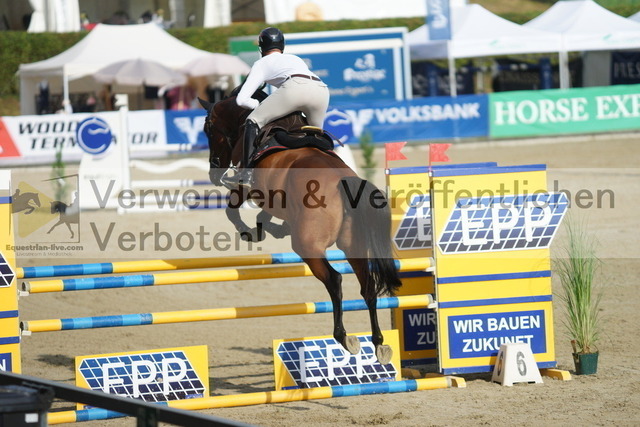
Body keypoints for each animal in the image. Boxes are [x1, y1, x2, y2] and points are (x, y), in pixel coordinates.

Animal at [200, 90, 400, 364]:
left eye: (208, 128)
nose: (213, 170)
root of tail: (344, 182)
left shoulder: (245, 188)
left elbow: (232, 211)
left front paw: (251, 233)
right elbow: (265, 216)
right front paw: (274, 228)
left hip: (308, 246)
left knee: (334, 279)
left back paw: (343, 337)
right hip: (353, 245)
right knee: (367, 286)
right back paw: (378, 343)